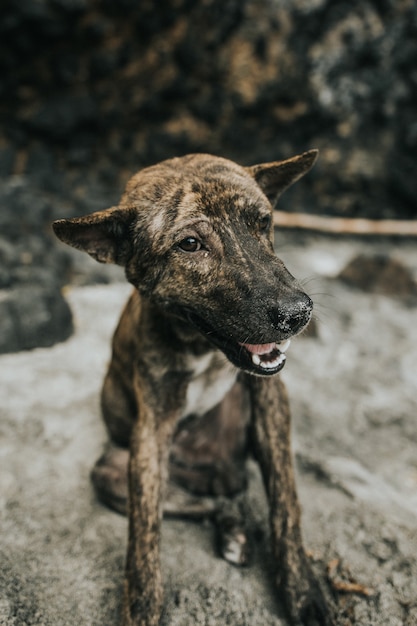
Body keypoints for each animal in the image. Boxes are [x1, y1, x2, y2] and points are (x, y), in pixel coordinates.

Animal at [52, 151, 334, 624]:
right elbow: (144, 534)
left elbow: (286, 501)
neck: (204, 346)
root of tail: (219, 474)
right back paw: (232, 526)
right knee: (202, 504)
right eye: (189, 244)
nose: (298, 313)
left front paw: (301, 590)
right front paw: (143, 605)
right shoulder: (151, 432)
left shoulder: (271, 401)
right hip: (113, 470)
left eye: (263, 221)